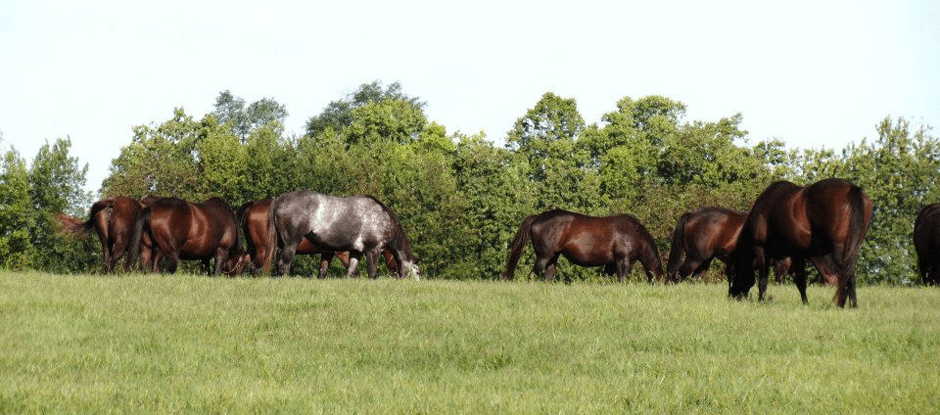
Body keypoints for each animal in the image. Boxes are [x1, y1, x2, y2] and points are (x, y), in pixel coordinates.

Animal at [236, 199, 398, 277]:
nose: (398, 273)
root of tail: (252, 206)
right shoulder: (342, 252)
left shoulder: (327, 253)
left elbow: (322, 272)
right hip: (263, 249)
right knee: (258, 268)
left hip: (254, 248)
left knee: (243, 262)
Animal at [270, 191, 419, 279]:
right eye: (418, 272)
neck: (383, 219)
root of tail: (280, 200)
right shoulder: (373, 250)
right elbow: (372, 273)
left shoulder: (356, 252)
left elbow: (350, 272)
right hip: (291, 244)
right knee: (284, 266)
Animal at [502, 209, 664, 282]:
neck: (634, 234)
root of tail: (537, 217)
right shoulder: (622, 261)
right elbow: (621, 279)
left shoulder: (610, 264)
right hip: (544, 257)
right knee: (531, 276)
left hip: (552, 258)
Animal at [726, 179, 872, 307]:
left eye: (732, 274)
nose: (731, 297)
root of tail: (852, 188)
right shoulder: (798, 254)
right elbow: (801, 282)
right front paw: (805, 304)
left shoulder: (761, 249)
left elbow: (763, 279)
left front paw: (761, 301)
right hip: (851, 249)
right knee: (850, 275)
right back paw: (853, 305)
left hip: (840, 250)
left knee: (846, 275)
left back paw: (842, 304)